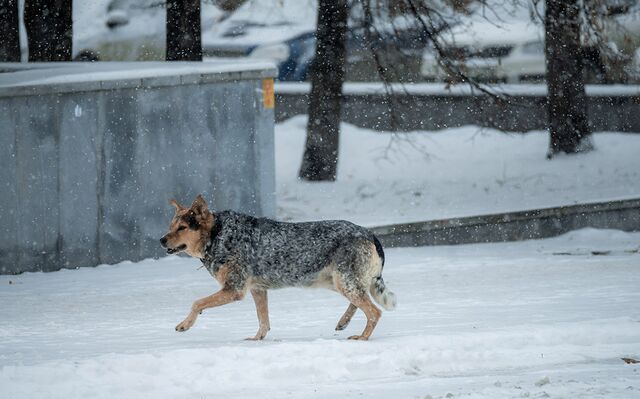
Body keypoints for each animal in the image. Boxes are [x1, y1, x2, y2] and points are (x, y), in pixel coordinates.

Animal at [160, 195, 396, 342]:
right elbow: (263, 321)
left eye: (182, 228)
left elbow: (197, 303)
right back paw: (343, 322)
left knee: (374, 312)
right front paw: (256, 340)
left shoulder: (234, 289)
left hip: (343, 282)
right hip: (338, 282)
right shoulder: (257, 290)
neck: (217, 235)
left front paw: (185, 324)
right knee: (361, 303)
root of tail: (369, 233)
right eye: (170, 227)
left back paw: (362, 337)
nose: (161, 240)